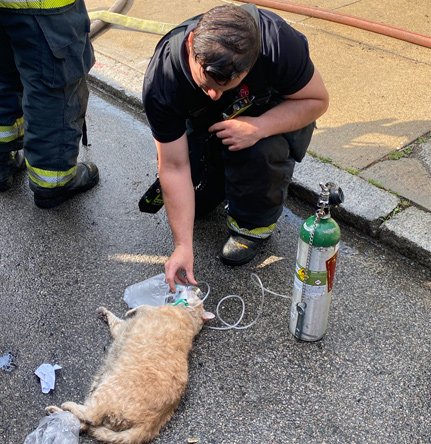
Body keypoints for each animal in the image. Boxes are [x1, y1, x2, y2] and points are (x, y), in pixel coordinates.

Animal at [46, 292, 214, 444]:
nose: (192, 289)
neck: (189, 316)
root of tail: (151, 423)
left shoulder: (125, 325)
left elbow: (131, 312)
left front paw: (124, 311)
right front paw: (108, 313)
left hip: (106, 390)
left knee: (91, 418)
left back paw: (66, 406)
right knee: (83, 425)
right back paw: (56, 412)